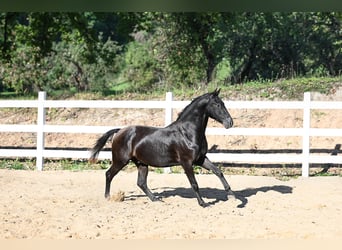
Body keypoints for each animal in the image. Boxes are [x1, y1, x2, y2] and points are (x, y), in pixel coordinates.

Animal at [90, 88, 235, 207]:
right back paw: (108, 197)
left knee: (141, 183)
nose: (230, 122)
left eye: (223, 103)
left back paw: (156, 199)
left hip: (142, 163)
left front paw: (231, 195)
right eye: (217, 104)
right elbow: (194, 183)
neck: (188, 133)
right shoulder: (187, 162)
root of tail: (120, 131)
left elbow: (218, 172)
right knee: (109, 174)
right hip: (120, 160)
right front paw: (203, 203)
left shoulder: (201, 159)